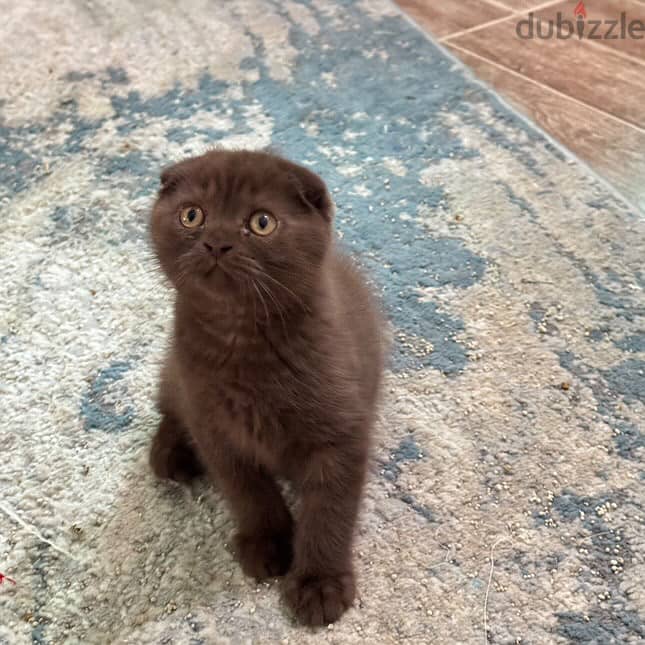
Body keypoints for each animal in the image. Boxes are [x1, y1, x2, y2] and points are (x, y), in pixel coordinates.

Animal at [148, 150, 384, 624]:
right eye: (192, 215)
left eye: (261, 222)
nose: (216, 243)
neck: (240, 340)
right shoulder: (214, 427)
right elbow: (249, 492)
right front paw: (268, 543)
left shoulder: (341, 433)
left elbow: (329, 509)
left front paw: (319, 584)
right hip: (178, 377)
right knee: (169, 401)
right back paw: (169, 452)